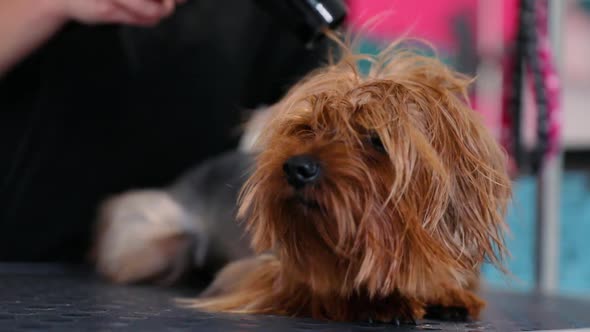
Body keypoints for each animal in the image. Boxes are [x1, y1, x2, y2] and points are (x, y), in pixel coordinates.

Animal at [182, 38, 512, 322]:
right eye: (307, 129)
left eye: (375, 139)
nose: (296, 167)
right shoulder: (259, 274)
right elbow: (313, 284)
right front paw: (374, 301)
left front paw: (445, 291)